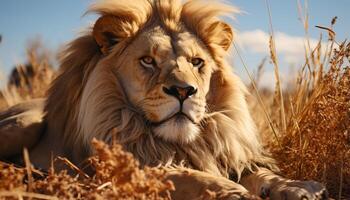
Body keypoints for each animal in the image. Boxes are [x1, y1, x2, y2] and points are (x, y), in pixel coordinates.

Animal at [0, 0, 328, 199]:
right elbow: (184, 174)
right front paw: (230, 191)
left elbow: (262, 172)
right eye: (148, 61)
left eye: (197, 62)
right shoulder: (122, 165)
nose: (184, 91)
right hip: (24, 124)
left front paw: (299, 187)